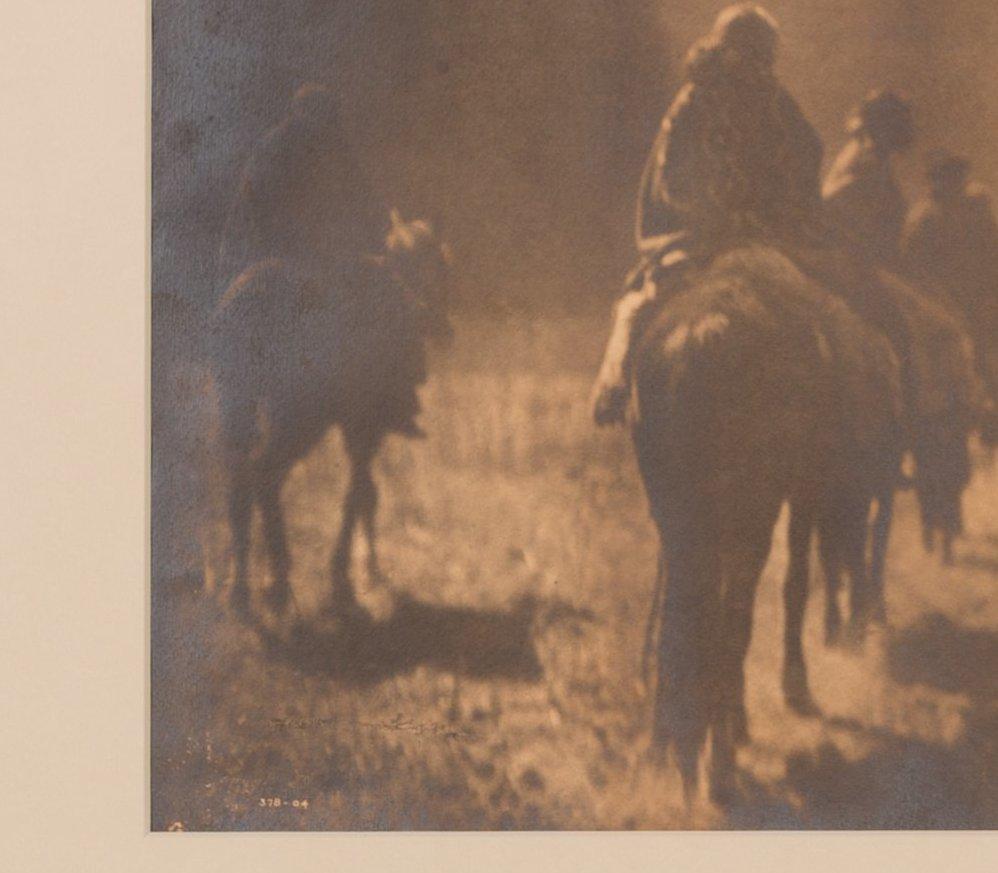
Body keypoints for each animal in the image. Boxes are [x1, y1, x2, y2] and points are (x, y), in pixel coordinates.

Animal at [215, 209, 458, 620]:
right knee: (264, 476)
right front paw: (356, 575)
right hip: (298, 420)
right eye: (441, 265)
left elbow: (362, 493)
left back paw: (243, 592)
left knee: (243, 485)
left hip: (242, 411)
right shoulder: (365, 427)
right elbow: (361, 495)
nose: (443, 329)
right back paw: (277, 584)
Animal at [632, 245, 908, 804]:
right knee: (731, 616)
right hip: (750, 513)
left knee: (681, 620)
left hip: (681, 516)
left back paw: (672, 747)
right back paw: (717, 762)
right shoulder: (800, 493)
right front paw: (789, 690)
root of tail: (700, 341)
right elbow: (794, 585)